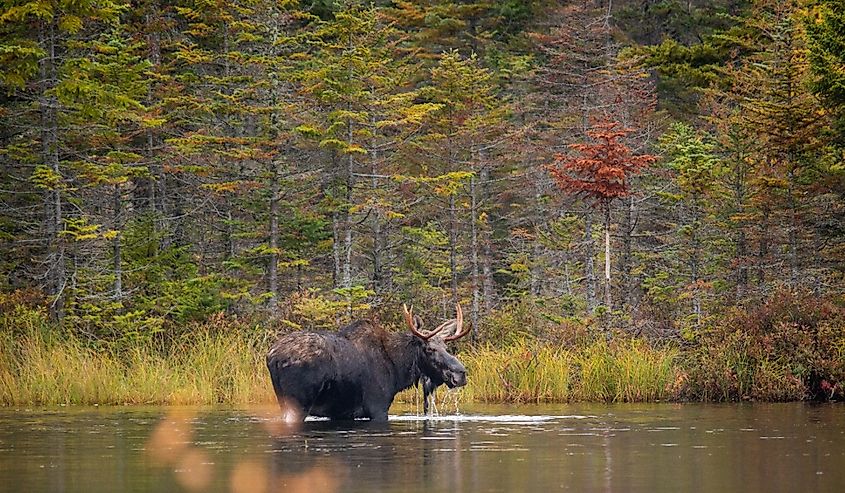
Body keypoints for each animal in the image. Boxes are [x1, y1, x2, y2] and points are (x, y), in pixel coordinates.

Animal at [266, 302, 468, 420]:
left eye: (446, 347)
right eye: (429, 349)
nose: (460, 374)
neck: (398, 370)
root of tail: (271, 357)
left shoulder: (342, 413)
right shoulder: (377, 407)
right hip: (298, 404)